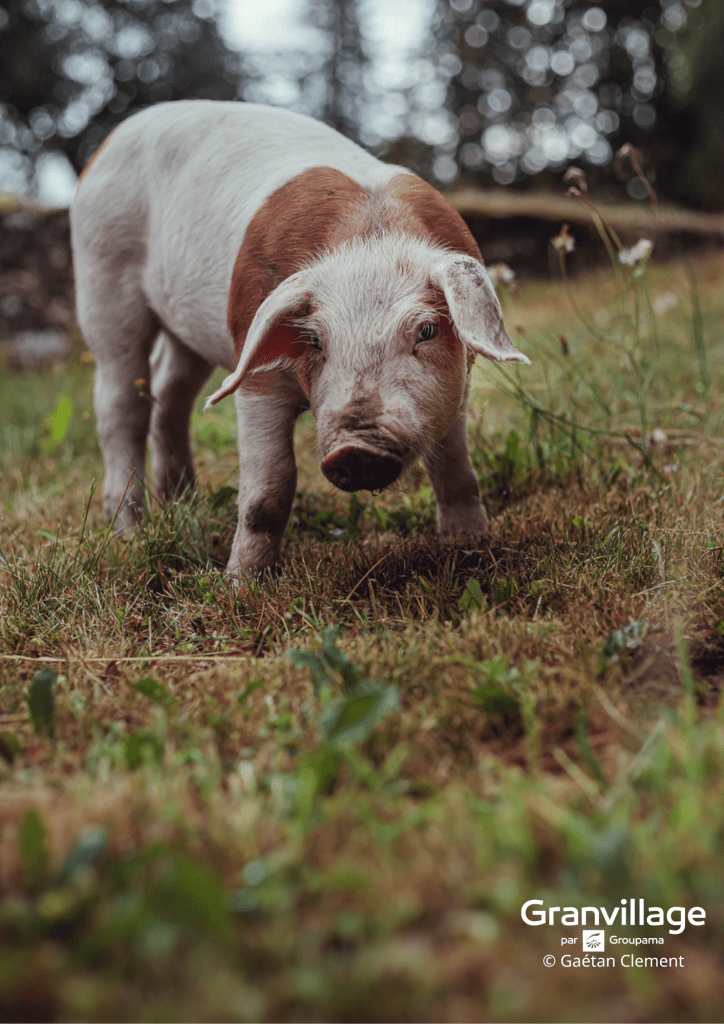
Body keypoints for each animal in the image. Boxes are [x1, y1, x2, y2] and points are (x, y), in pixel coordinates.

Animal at [70, 100, 529, 575]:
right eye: (315, 341)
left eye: (427, 330)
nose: (356, 448)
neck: (372, 243)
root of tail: (112, 139)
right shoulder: (254, 369)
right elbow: (269, 488)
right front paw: (243, 583)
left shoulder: (457, 382)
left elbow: (453, 465)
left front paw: (471, 547)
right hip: (102, 281)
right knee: (121, 404)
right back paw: (128, 533)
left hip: (186, 329)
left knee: (169, 395)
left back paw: (183, 502)